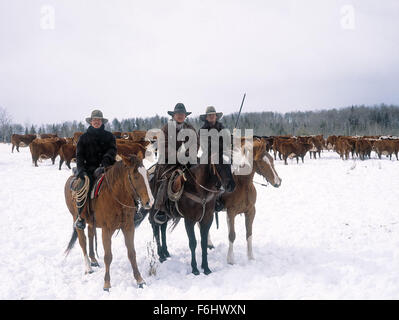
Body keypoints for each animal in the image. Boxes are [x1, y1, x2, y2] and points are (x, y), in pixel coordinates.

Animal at [65, 154, 154, 292]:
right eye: (135, 176)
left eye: (147, 174)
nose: (150, 201)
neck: (116, 197)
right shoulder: (106, 231)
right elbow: (108, 256)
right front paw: (107, 284)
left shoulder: (128, 228)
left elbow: (132, 253)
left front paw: (140, 280)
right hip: (76, 218)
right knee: (82, 241)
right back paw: (88, 268)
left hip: (91, 222)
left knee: (90, 235)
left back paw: (93, 260)